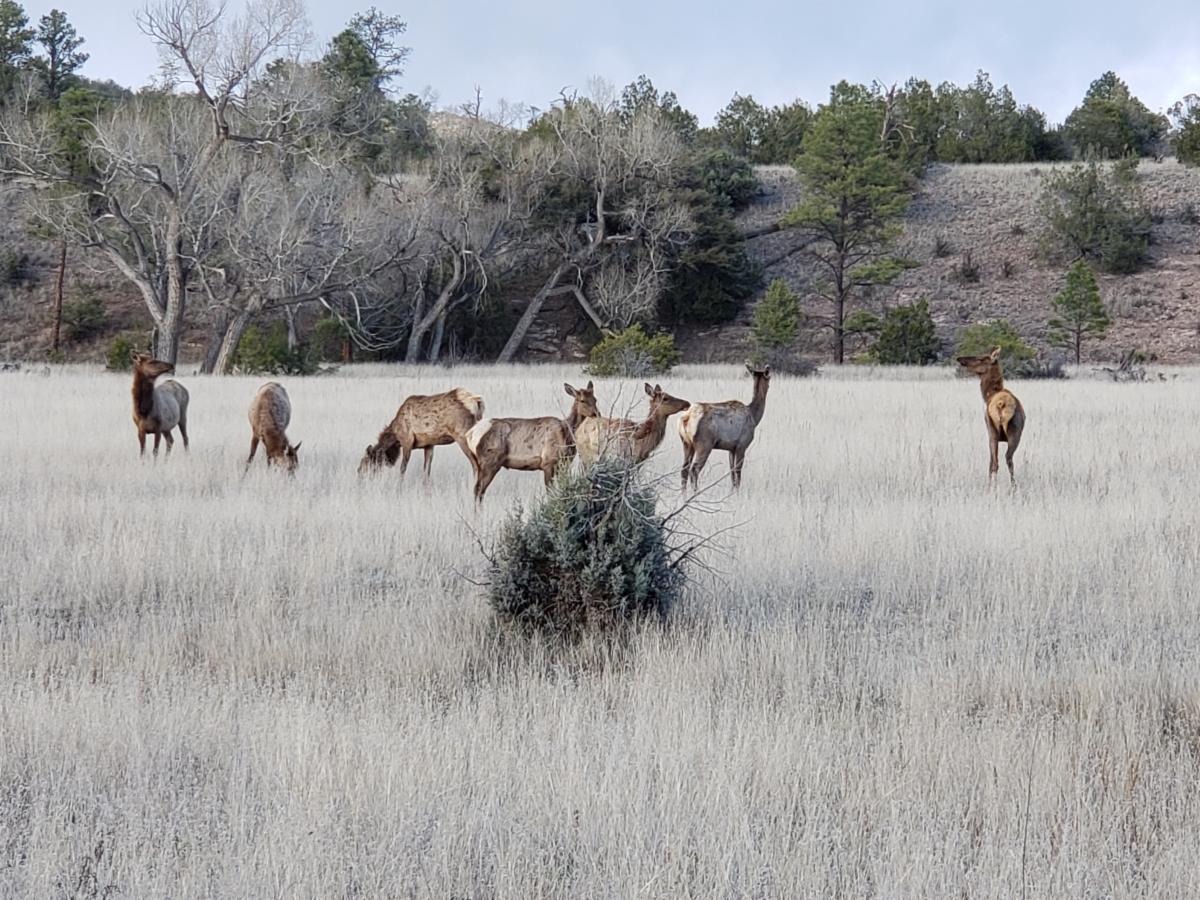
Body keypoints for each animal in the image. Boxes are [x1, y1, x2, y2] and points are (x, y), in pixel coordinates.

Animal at [464, 382, 602, 503]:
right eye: (582, 400)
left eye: (595, 399)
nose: (597, 413)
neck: (566, 435)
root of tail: (470, 434)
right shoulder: (548, 462)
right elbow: (550, 493)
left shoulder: (563, 465)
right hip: (490, 462)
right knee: (479, 490)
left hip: (478, 464)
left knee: (477, 489)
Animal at [956, 346, 1026, 485]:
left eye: (981, 358)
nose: (960, 358)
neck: (988, 395)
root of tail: (1001, 403)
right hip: (1013, 431)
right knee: (1007, 459)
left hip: (994, 431)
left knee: (996, 462)